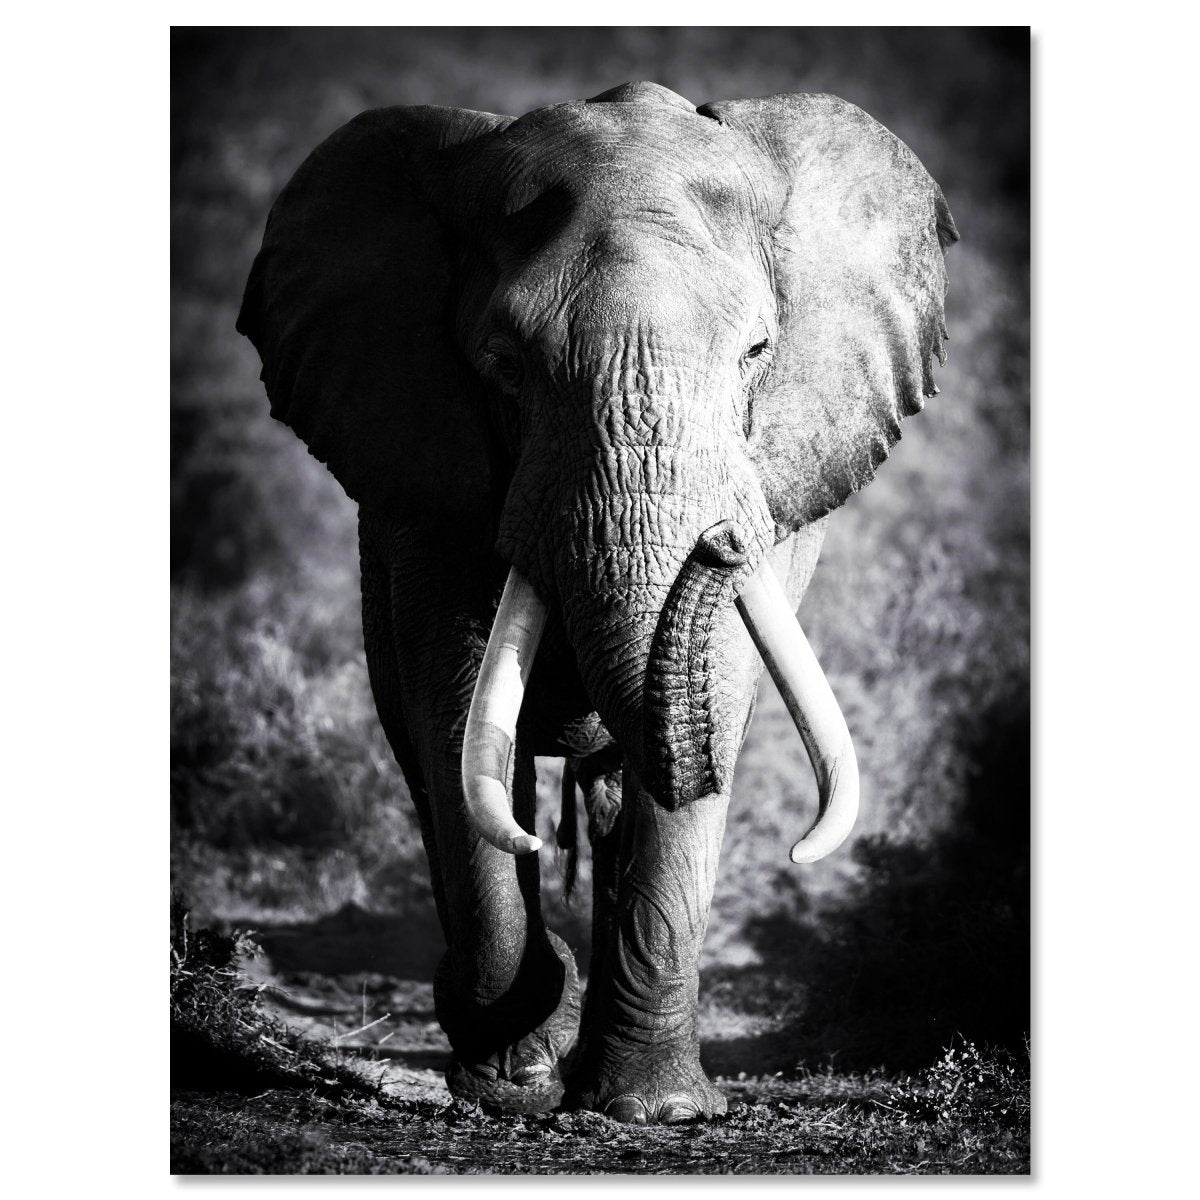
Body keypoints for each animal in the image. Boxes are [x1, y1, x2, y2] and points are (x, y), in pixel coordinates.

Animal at [238, 80, 956, 1124]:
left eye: (757, 352)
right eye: (504, 364)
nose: (721, 541)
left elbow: (717, 697)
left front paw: (655, 1111)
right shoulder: (424, 477)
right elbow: (453, 708)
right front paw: (511, 1086)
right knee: (427, 759)